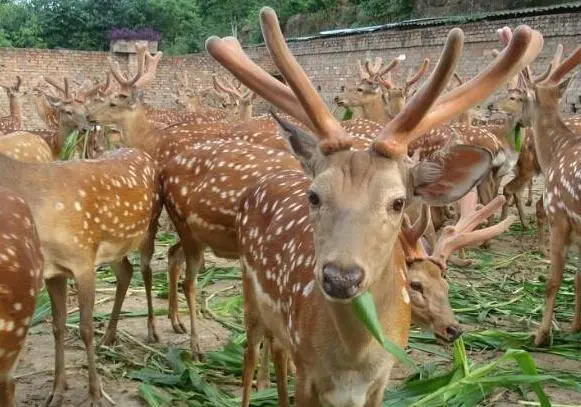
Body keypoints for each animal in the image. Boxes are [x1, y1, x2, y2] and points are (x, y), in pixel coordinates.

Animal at [206, 7, 540, 406]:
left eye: (398, 202)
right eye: (313, 195)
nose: (340, 277)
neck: (354, 362)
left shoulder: (381, 377)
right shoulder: (308, 370)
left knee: (276, 351)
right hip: (250, 294)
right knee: (251, 353)